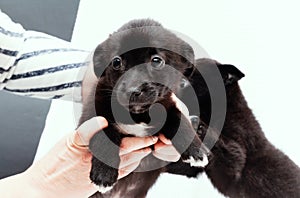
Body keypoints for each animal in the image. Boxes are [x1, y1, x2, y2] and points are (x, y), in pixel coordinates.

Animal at [79, 19, 211, 196]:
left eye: (156, 60)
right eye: (116, 62)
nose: (132, 91)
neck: (138, 114)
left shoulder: (168, 107)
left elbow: (180, 121)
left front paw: (197, 150)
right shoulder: (94, 115)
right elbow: (104, 137)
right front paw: (104, 175)